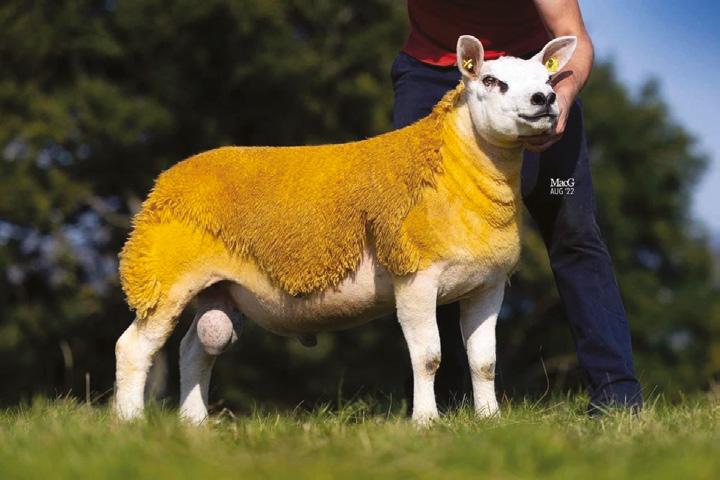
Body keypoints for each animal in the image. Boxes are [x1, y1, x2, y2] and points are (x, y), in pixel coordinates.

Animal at [114, 35, 577, 425]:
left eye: (548, 78)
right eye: (491, 80)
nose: (545, 99)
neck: (455, 172)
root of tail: (166, 180)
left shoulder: (488, 285)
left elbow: (484, 362)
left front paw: (490, 421)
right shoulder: (415, 276)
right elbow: (428, 357)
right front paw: (426, 422)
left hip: (219, 288)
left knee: (195, 349)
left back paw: (193, 424)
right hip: (163, 275)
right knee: (134, 348)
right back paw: (129, 422)